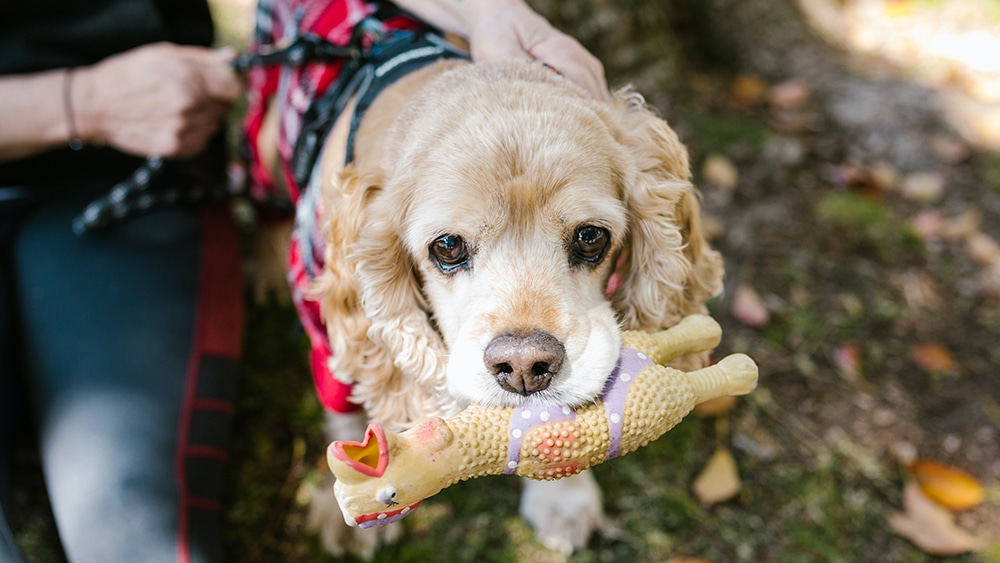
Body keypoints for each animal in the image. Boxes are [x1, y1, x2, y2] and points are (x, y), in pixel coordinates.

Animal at [247, 5, 724, 560]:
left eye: (591, 237)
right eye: (448, 246)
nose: (524, 367)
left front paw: (563, 500)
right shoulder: (333, 329)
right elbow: (346, 406)